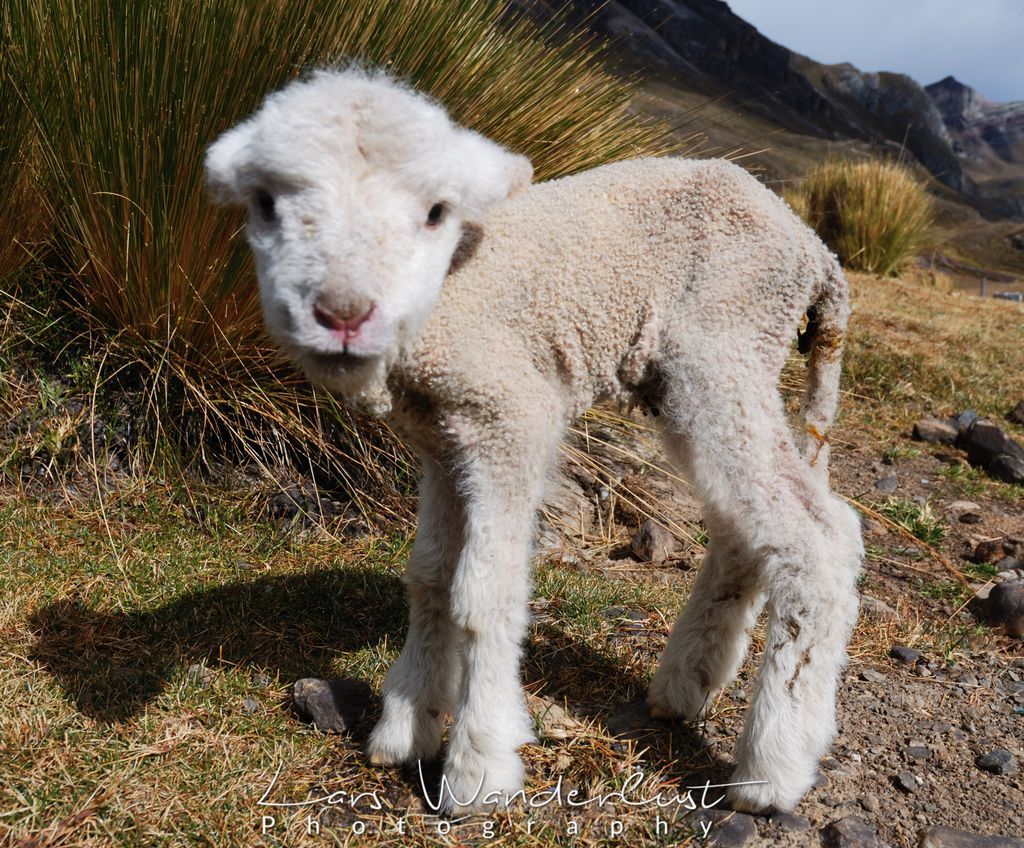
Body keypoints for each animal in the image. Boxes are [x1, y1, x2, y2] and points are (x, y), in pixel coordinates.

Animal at [205, 67, 863, 816]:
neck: (440, 305)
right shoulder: (441, 443)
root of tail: (817, 251)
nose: (343, 313)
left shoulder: (510, 419)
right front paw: (407, 726)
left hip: (725, 349)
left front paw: (478, 767)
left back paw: (771, 769)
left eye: (434, 211)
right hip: (694, 377)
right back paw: (686, 681)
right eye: (265, 204)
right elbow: (429, 577)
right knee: (743, 525)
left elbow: (483, 592)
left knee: (818, 536)